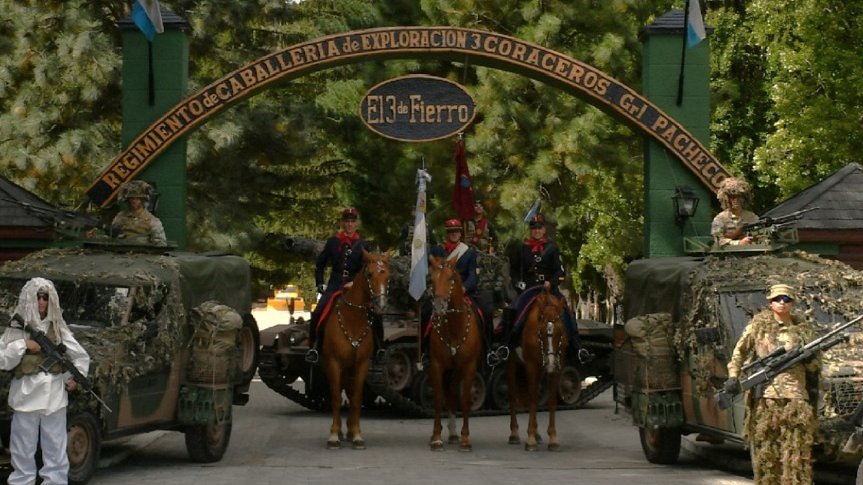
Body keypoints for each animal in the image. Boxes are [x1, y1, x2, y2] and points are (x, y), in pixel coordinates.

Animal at [320, 249, 391, 449]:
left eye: (388, 276)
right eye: (370, 274)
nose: (381, 305)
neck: (352, 319)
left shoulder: (362, 364)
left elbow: (357, 398)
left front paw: (357, 434)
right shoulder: (333, 363)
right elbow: (336, 397)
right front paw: (333, 435)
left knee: (351, 393)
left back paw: (351, 431)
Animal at [426, 255, 483, 451]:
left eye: (451, 278)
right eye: (431, 279)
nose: (439, 305)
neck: (454, 328)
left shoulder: (469, 366)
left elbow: (465, 399)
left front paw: (465, 439)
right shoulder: (436, 365)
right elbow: (437, 399)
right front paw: (436, 437)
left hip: (458, 370)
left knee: (453, 393)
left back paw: (453, 432)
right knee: (449, 393)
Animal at [506, 288, 568, 451]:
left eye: (560, 332)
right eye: (542, 332)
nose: (550, 364)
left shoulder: (558, 367)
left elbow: (551, 400)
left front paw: (552, 437)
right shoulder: (531, 366)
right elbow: (532, 398)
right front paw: (530, 438)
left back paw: (537, 433)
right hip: (512, 363)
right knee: (513, 394)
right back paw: (514, 433)